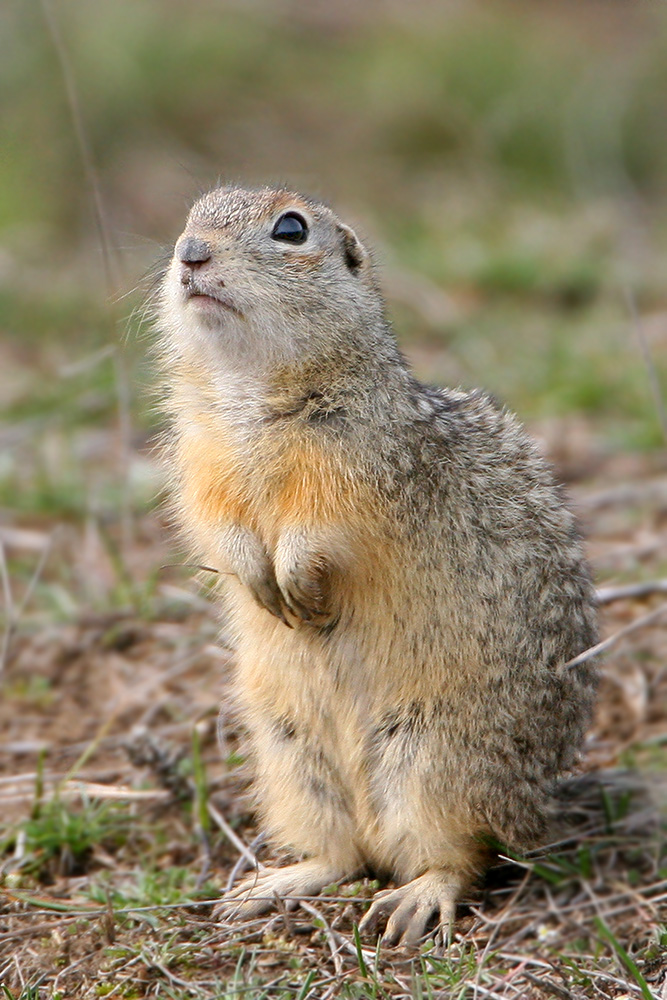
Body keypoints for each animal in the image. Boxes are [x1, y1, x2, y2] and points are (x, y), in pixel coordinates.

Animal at [157, 186, 600, 944]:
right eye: (191, 213)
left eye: (290, 228)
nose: (190, 252)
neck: (249, 388)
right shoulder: (201, 458)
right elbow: (217, 526)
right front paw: (258, 578)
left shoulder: (358, 464)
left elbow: (322, 528)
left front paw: (296, 580)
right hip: (291, 755)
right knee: (348, 855)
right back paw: (274, 884)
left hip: (436, 758)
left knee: (464, 854)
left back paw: (416, 900)